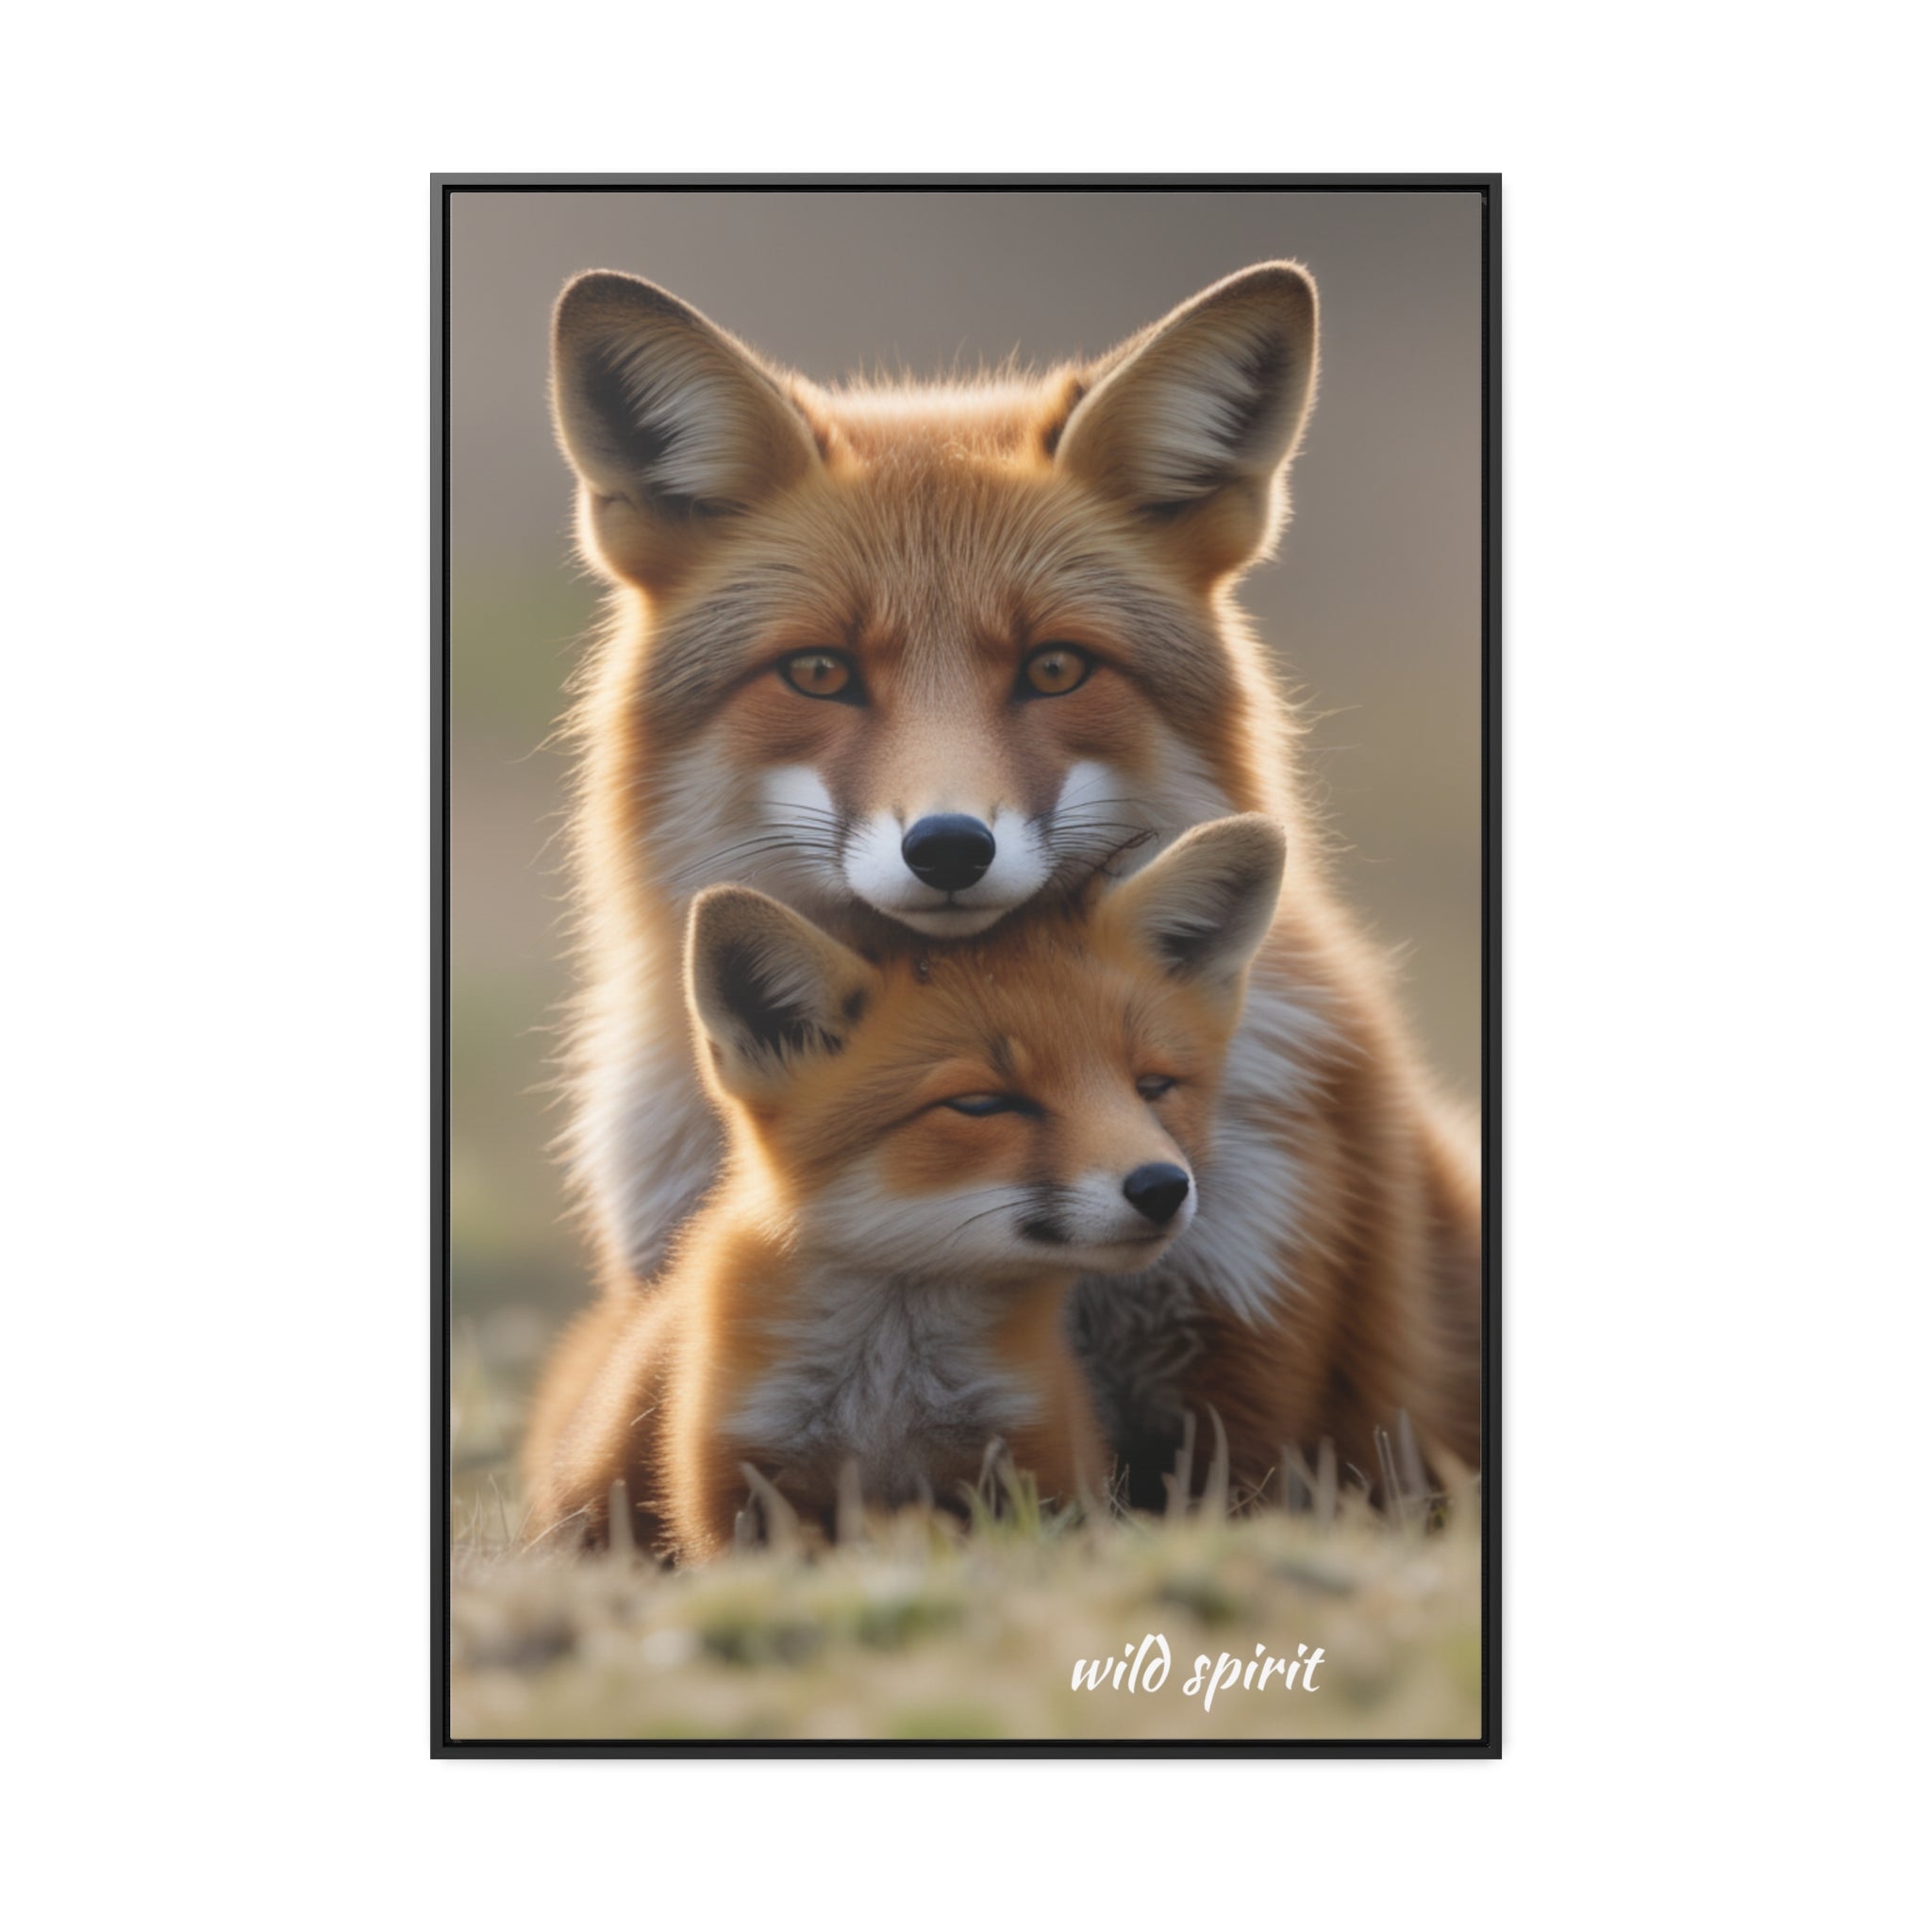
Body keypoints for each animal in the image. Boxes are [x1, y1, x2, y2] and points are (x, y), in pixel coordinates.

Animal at [522, 817, 1287, 1558]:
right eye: (982, 1104)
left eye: (1153, 1087)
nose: (1162, 1187)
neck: (887, 1394)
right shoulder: (736, 1487)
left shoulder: (1037, 1465)